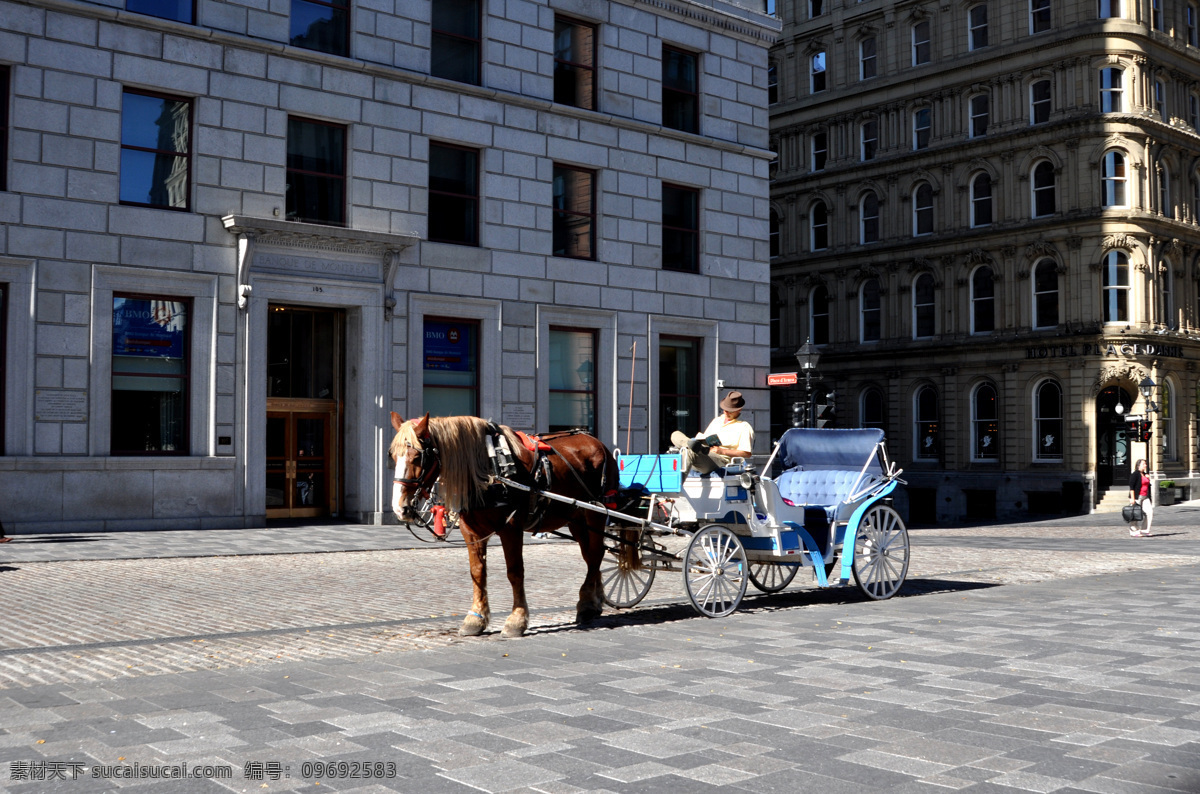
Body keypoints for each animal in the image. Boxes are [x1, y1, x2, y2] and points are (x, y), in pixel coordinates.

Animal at [388, 412, 628, 638]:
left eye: (418, 456)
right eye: (392, 456)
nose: (400, 508)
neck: (488, 468)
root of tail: (598, 442)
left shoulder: (511, 527)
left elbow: (515, 572)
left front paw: (516, 621)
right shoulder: (470, 530)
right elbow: (477, 572)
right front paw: (475, 618)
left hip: (596, 513)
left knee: (595, 554)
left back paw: (587, 604)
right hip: (576, 519)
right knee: (591, 556)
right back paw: (594, 600)